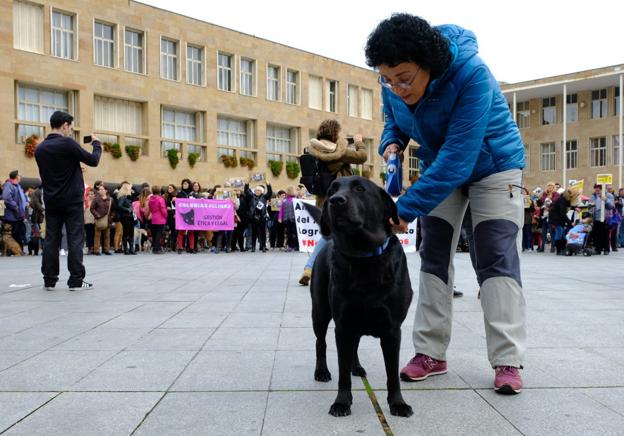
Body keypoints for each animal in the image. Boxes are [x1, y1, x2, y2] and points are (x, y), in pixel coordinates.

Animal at [308, 175, 414, 418]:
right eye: (332, 190)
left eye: (359, 188)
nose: (335, 201)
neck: (363, 257)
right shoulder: (342, 325)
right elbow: (342, 373)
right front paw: (341, 402)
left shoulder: (393, 329)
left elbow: (392, 373)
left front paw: (398, 403)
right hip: (320, 311)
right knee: (320, 342)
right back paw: (321, 371)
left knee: (353, 347)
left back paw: (356, 367)